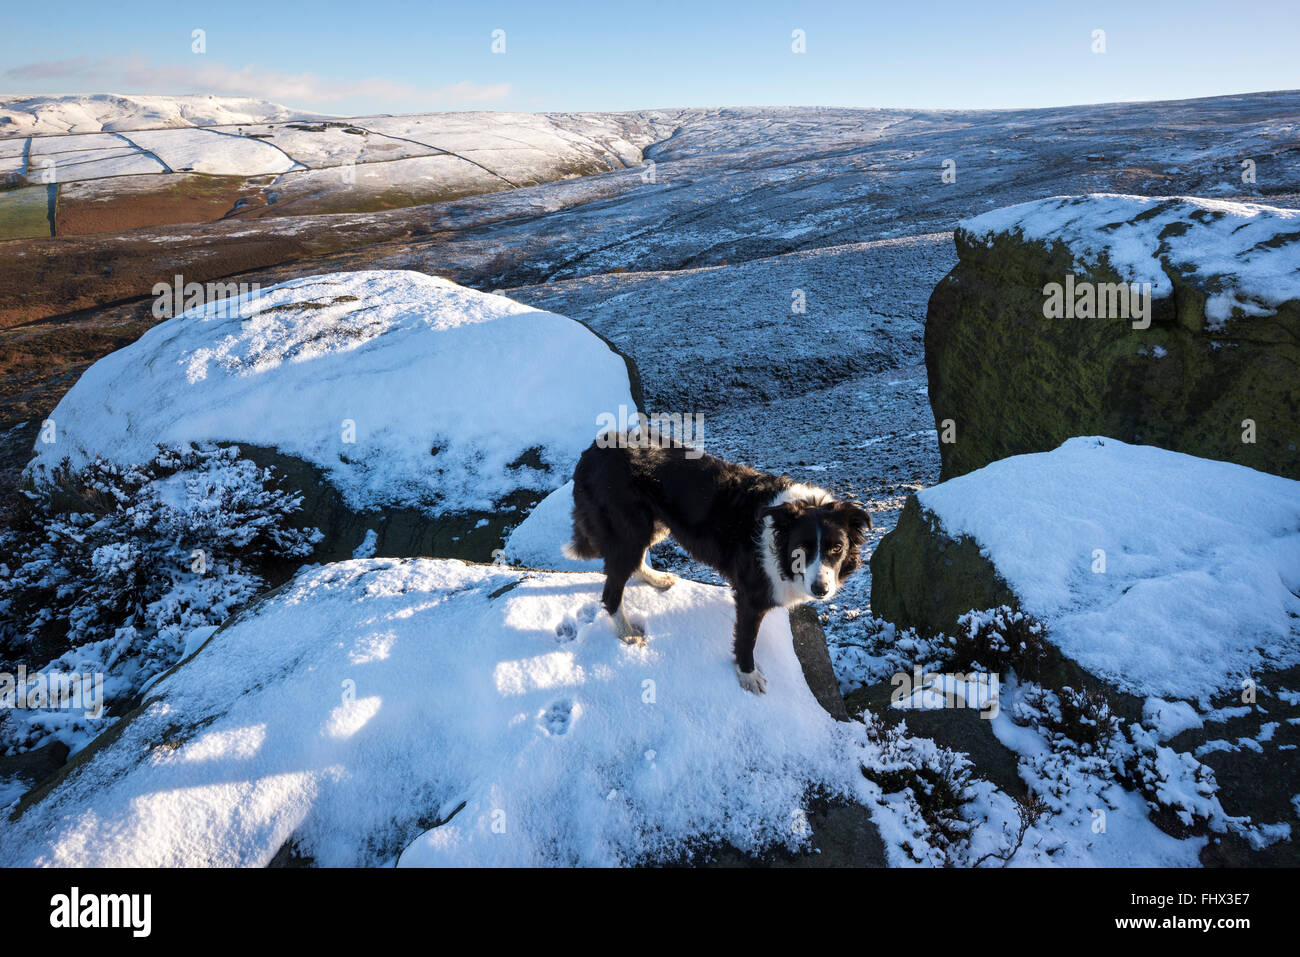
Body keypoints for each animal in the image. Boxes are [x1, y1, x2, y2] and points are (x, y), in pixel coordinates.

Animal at [561, 434, 873, 696]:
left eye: (837, 549)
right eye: (801, 551)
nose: (820, 590)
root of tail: (591, 452)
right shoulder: (751, 597)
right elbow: (746, 639)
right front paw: (748, 676)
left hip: (655, 525)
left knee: (635, 563)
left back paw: (657, 580)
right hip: (630, 528)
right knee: (611, 591)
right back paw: (626, 633)